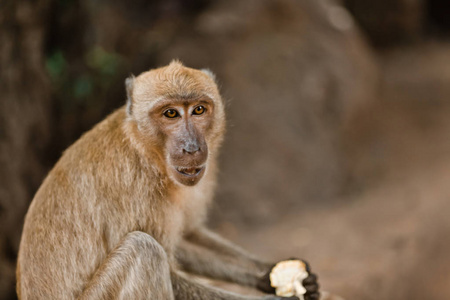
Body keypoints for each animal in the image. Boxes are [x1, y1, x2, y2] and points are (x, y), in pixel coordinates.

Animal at [16, 61, 320, 300]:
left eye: (198, 110)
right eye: (170, 113)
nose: (191, 147)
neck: (147, 152)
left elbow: (186, 235)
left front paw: (269, 273)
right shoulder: (135, 186)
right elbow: (167, 268)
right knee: (144, 249)